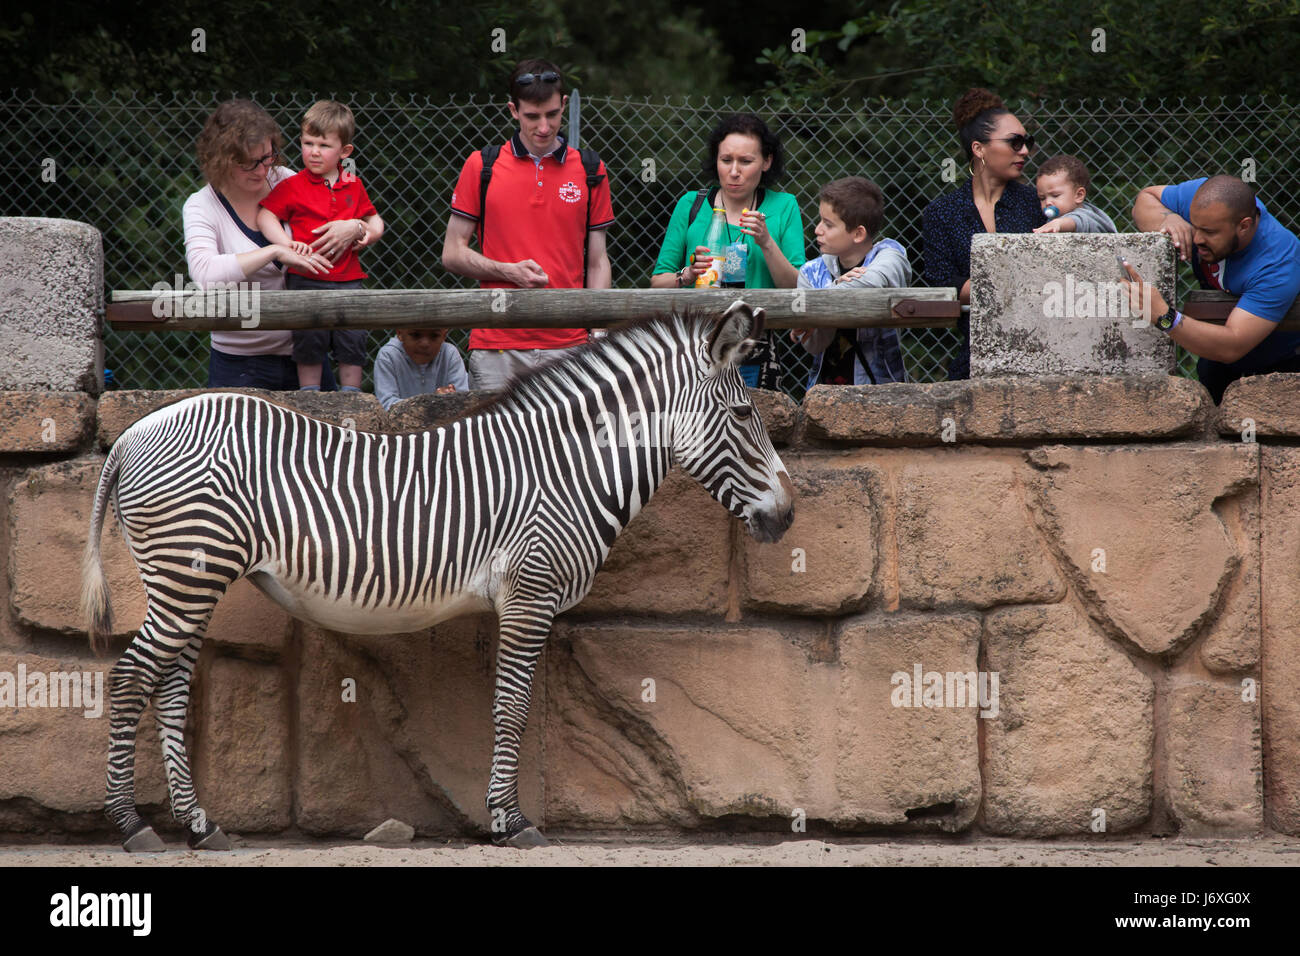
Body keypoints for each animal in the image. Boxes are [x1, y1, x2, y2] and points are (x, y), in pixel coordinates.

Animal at [83, 300, 790, 853]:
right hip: (186, 575)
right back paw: (132, 827)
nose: (785, 518)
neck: (563, 468)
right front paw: (509, 822)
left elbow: (508, 705)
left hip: (191, 581)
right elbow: (512, 708)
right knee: (130, 679)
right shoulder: (529, 594)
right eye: (742, 416)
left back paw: (202, 828)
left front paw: (502, 816)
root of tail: (135, 431)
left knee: (171, 688)